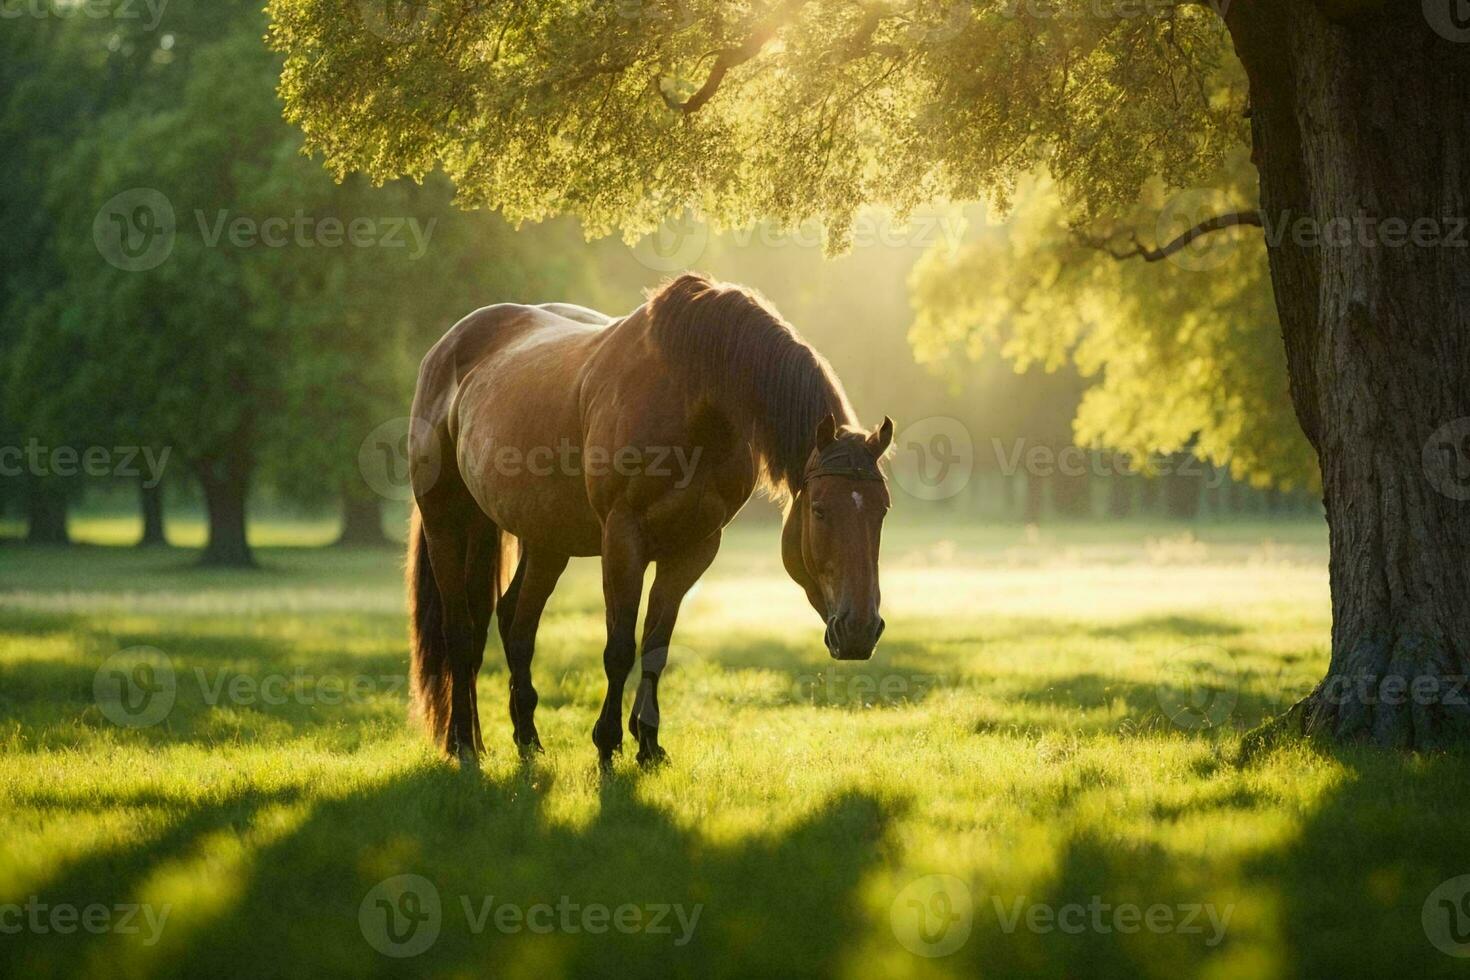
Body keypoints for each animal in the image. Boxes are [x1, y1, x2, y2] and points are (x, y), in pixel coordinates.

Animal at [405, 271, 893, 769]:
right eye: (819, 510)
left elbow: (656, 646)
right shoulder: (623, 539)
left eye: (882, 511)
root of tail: (448, 346)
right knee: (461, 630)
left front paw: (648, 744)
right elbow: (620, 647)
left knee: (515, 622)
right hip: (447, 522)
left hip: (546, 540)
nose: (859, 631)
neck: (693, 400)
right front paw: (607, 743)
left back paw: (526, 740)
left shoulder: (694, 548)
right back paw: (464, 744)